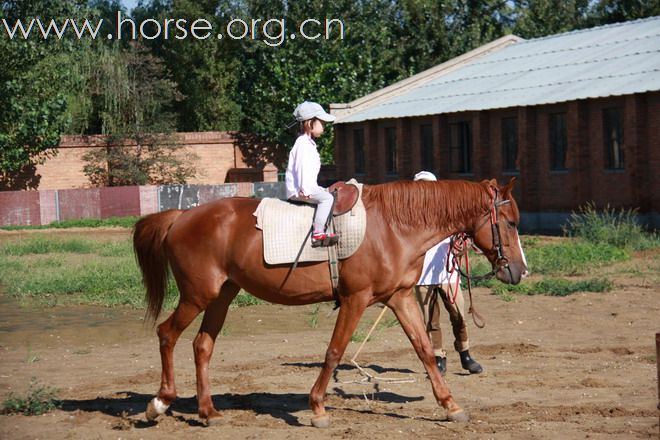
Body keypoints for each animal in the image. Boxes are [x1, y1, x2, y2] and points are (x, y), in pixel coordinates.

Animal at [133, 177, 524, 428]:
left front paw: (451, 406)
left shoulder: (399, 298)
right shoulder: (355, 299)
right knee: (166, 334)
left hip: (222, 295)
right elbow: (335, 351)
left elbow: (425, 351)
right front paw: (318, 407)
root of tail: (181, 216)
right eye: (509, 223)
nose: (519, 270)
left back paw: (208, 411)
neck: (392, 226)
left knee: (202, 345)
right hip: (198, 295)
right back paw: (160, 402)